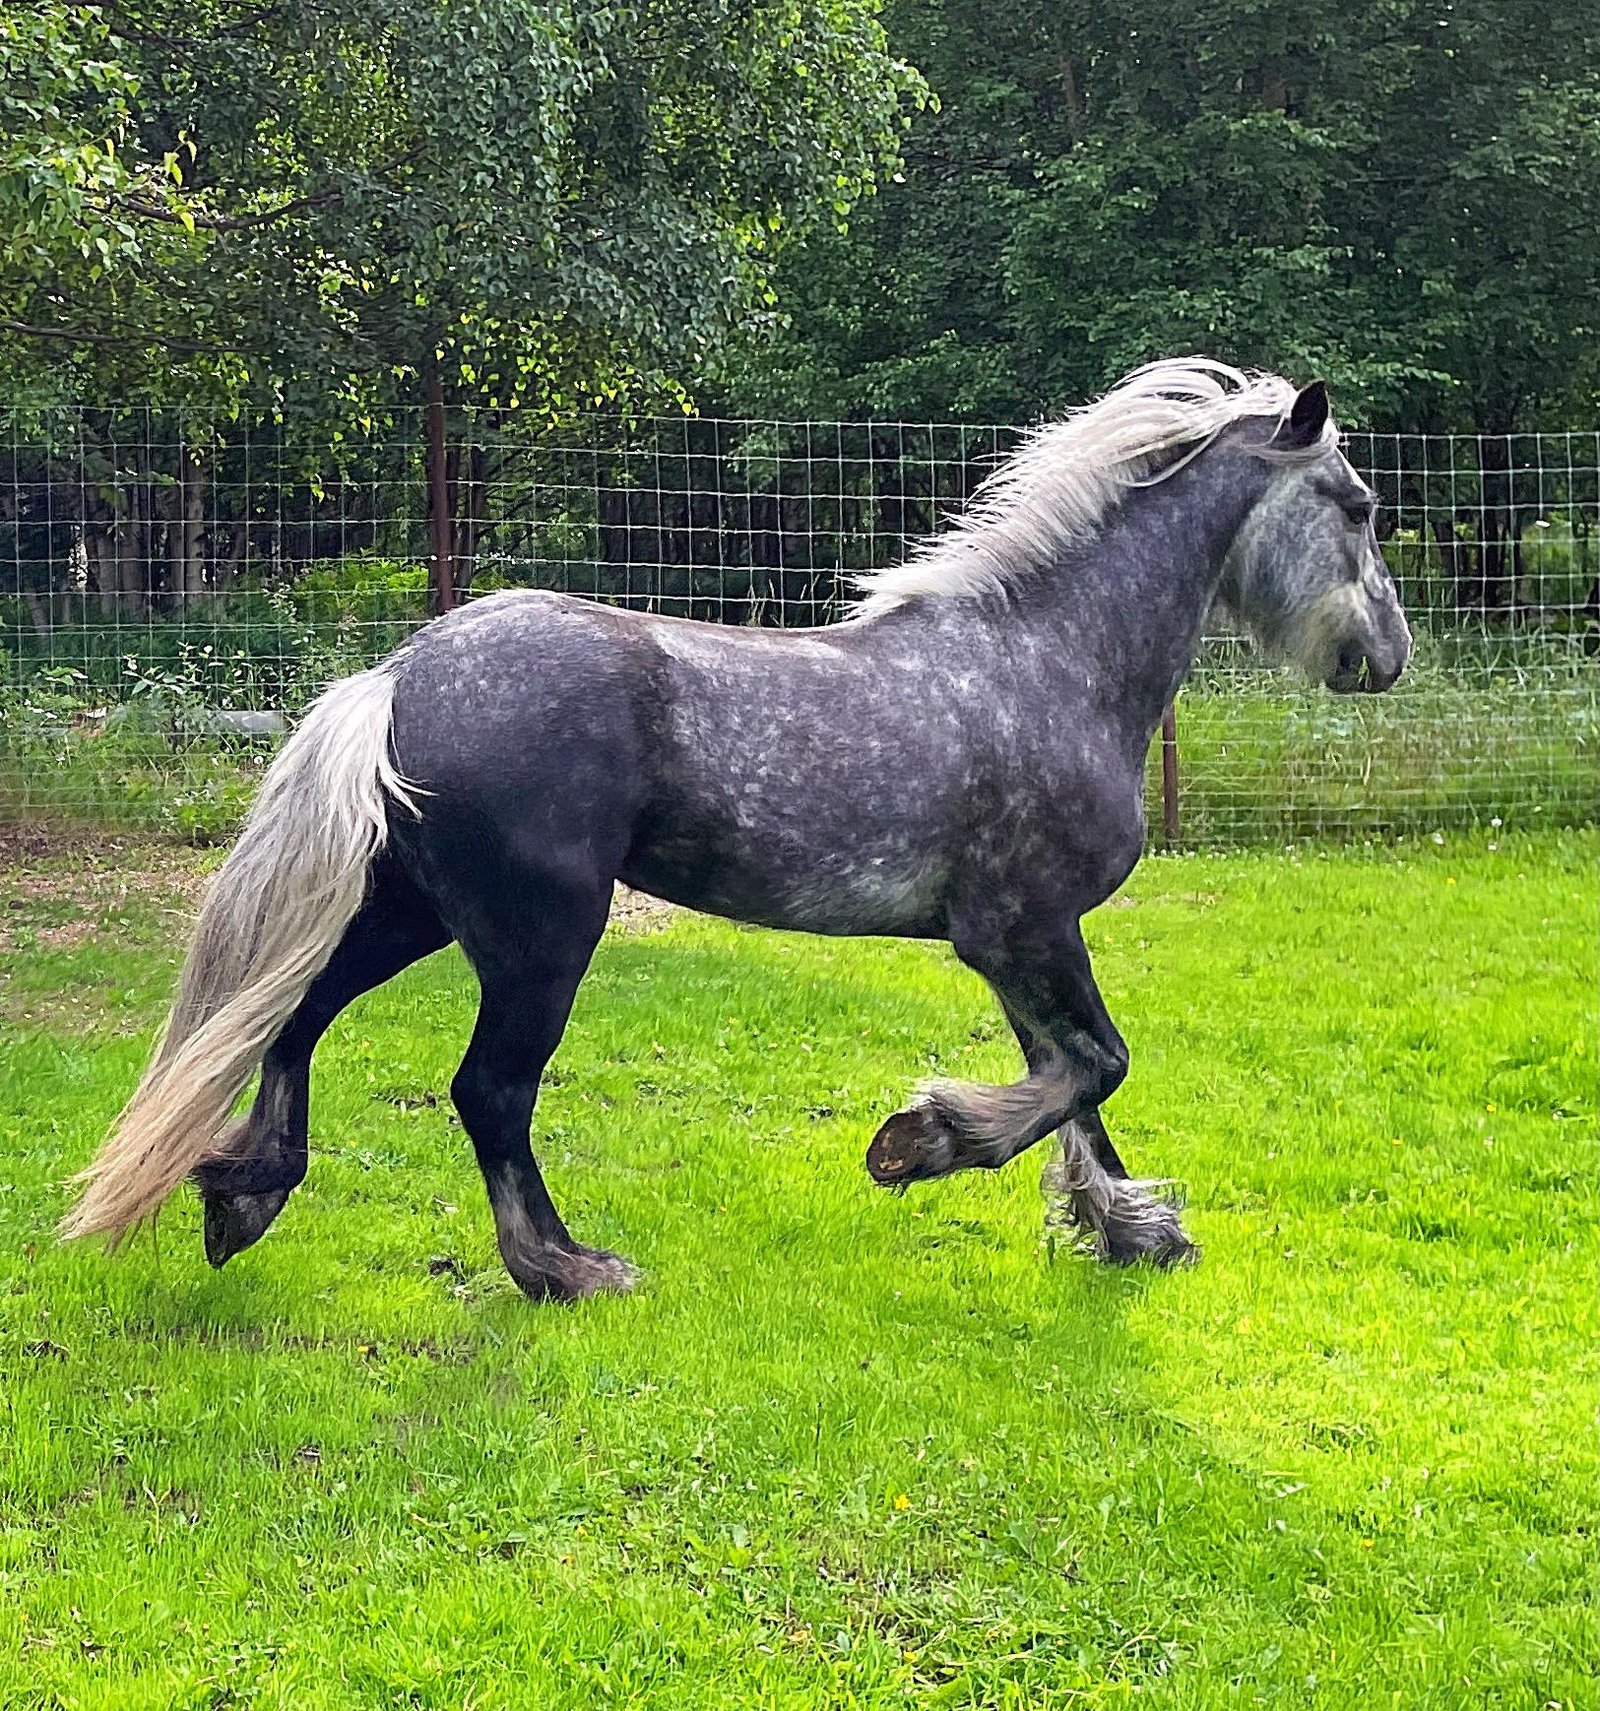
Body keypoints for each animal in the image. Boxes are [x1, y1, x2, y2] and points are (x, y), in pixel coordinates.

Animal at [61, 359, 1412, 1302]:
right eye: (1354, 506)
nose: (1385, 658)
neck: (1048, 664)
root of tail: (398, 676)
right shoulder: (1020, 926)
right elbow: (1090, 1066)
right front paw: (918, 1143)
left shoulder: (1022, 939)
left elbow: (1075, 1083)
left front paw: (1128, 1226)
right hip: (540, 935)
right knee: (489, 1088)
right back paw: (566, 1268)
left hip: (414, 910)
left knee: (292, 1019)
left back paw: (241, 1196)